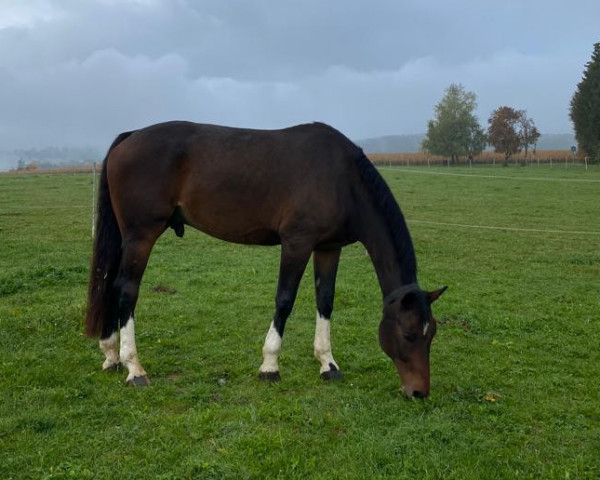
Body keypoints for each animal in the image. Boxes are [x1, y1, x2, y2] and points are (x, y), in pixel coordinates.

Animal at [86, 120, 448, 398]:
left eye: (431, 334)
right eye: (408, 334)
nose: (419, 392)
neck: (342, 179)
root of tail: (130, 136)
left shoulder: (328, 248)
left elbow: (325, 300)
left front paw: (327, 364)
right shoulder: (297, 243)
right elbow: (284, 300)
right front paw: (270, 366)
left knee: (111, 285)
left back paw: (111, 354)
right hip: (141, 236)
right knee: (126, 290)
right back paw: (134, 368)